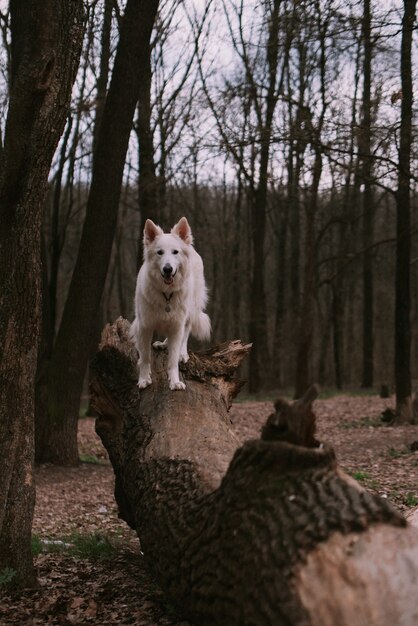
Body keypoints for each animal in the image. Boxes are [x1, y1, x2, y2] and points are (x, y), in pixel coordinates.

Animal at [129, 217, 211, 388]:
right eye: (159, 252)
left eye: (175, 252)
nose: (168, 269)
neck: (166, 294)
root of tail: (191, 247)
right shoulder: (144, 326)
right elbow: (145, 358)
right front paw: (144, 379)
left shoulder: (177, 325)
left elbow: (172, 361)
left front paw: (174, 382)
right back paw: (164, 344)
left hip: (190, 311)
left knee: (185, 334)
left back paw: (182, 353)